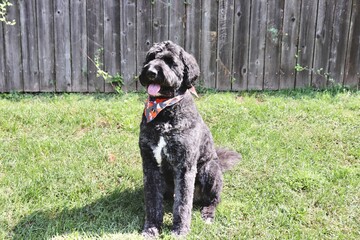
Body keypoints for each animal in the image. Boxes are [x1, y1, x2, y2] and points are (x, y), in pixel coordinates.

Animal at [139, 40, 240, 236]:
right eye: (150, 57)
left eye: (170, 61)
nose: (151, 72)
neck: (164, 111)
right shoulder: (150, 164)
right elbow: (152, 201)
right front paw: (152, 228)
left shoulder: (185, 167)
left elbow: (183, 204)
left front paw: (180, 231)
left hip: (210, 170)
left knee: (214, 200)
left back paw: (208, 214)